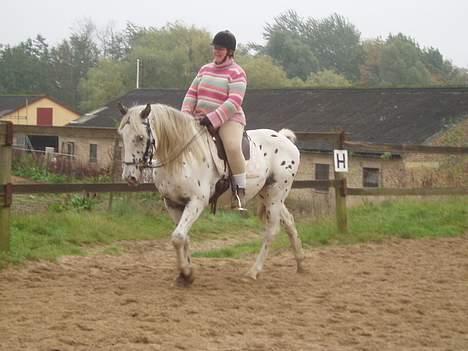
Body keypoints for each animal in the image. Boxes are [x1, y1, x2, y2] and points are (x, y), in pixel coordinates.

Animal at [119, 104, 306, 286]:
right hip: (267, 195)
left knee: (271, 231)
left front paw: (186, 273)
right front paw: (186, 274)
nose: (129, 177)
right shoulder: (173, 203)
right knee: (289, 222)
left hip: (276, 194)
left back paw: (253, 272)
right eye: (122, 136)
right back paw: (300, 264)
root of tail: (284, 139)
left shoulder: (196, 202)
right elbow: (183, 237)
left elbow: (178, 237)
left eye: (140, 137)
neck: (182, 157)